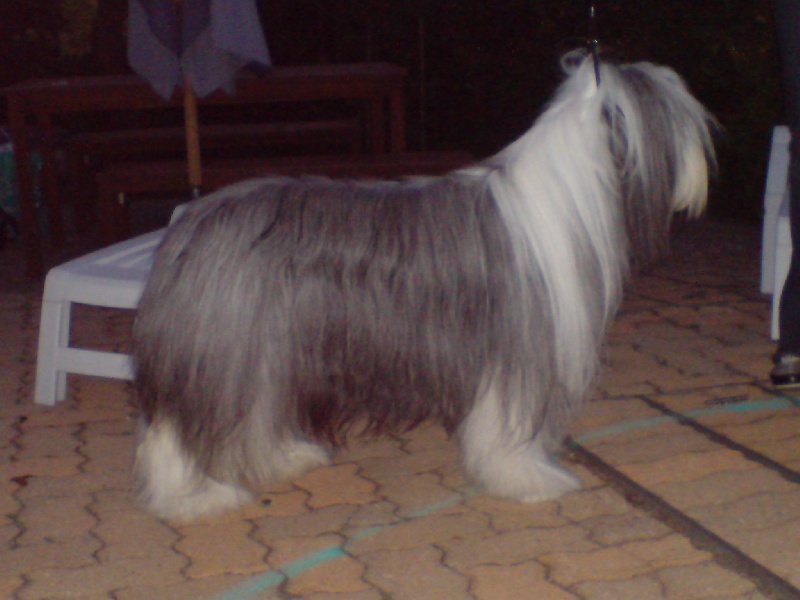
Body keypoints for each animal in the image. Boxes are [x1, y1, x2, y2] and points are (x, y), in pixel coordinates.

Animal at [131, 53, 715, 522]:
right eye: (683, 117)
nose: (704, 180)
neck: (568, 194)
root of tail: (189, 222)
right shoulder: (522, 346)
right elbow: (509, 426)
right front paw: (529, 479)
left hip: (269, 350)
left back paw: (284, 457)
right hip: (228, 349)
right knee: (178, 429)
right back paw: (190, 498)